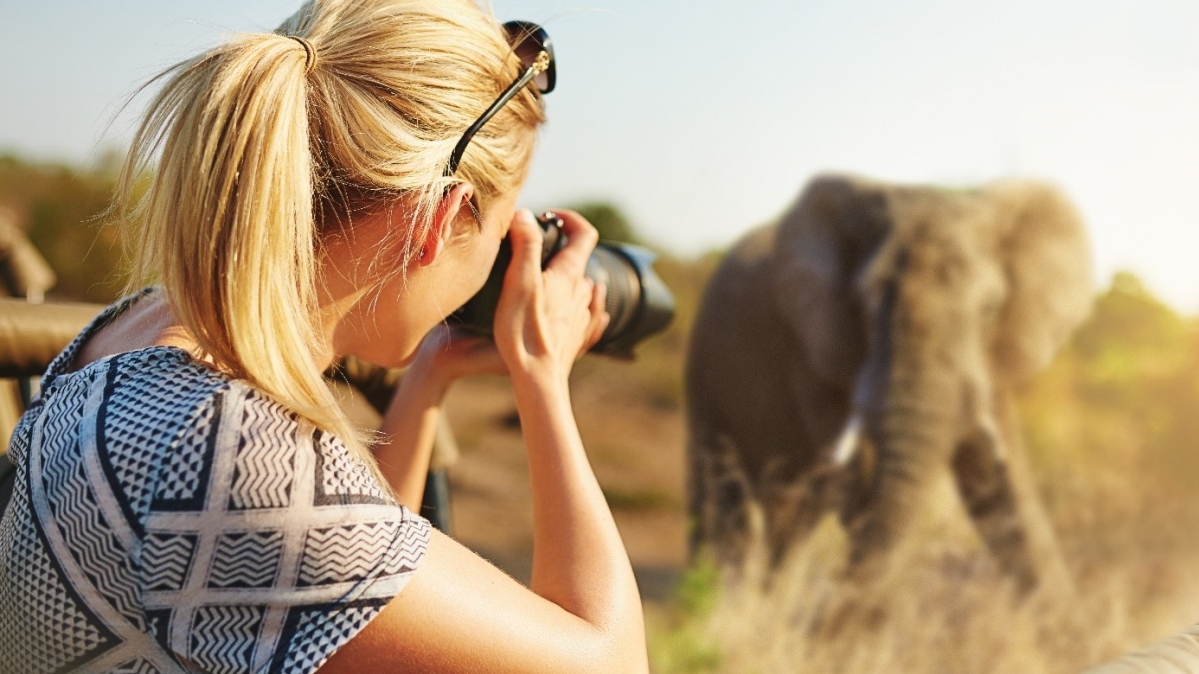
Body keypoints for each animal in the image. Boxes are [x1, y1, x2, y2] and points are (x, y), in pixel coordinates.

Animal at [685, 172, 1088, 587]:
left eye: (990, 309)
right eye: (865, 301)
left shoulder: (990, 360)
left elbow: (999, 488)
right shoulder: (813, 355)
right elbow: (858, 487)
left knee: (790, 527)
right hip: (704, 378)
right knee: (724, 509)